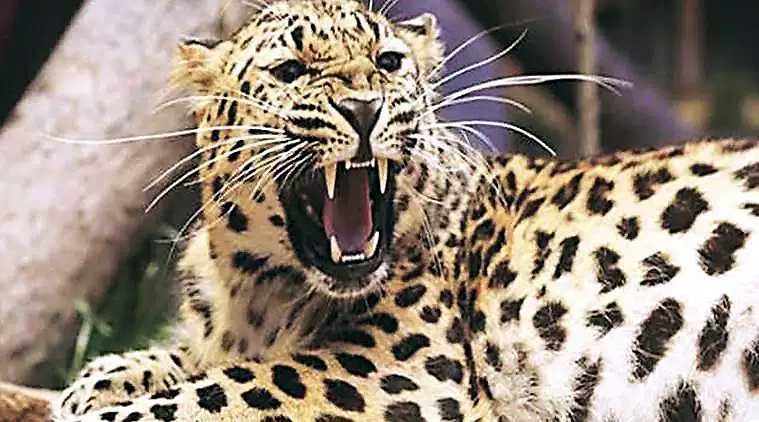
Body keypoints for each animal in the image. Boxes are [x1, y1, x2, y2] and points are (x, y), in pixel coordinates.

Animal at [53, 0, 759, 421]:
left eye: (388, 62)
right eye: (290, 71)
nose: (364, 108)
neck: (255, 293)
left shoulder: (403, 366)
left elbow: (230, 387)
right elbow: (187, 361)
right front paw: (101, 378)